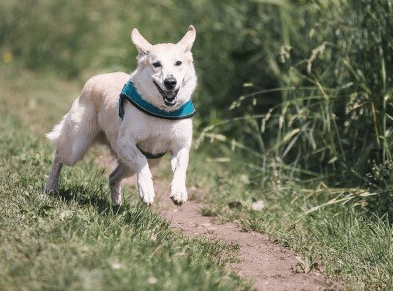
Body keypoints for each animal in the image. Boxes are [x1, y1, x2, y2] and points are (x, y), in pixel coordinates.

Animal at [43, 25, 196, 208]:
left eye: (178, 63)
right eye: (156, 64)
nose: (170, 82)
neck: (162, 112)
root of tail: (96, 78)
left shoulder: (181, 147)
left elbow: (181, 167)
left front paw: (179, 191)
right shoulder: (124, 142)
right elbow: (141, 160)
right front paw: (147, 190)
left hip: (133, 163)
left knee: (113, 176)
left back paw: (116, 205)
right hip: (76, 147)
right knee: (59, 155)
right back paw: (50, 186)